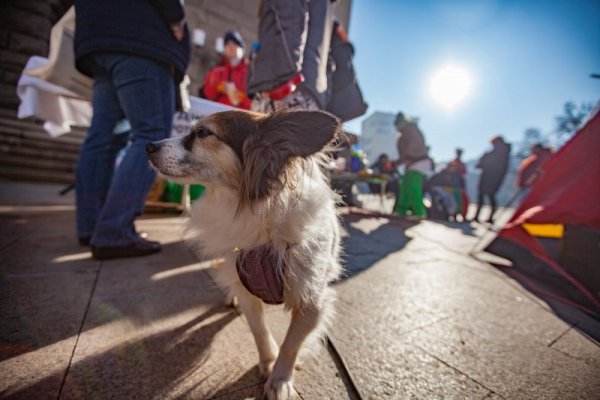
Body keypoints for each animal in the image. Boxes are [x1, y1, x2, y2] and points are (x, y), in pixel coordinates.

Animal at [146, 109, 342, 400]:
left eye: (203, 133)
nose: (148, 146)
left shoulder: (311, 301)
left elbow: (291, 344)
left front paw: (280, 380)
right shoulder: (246, 284)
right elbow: (259, 329)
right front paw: (268, 361)